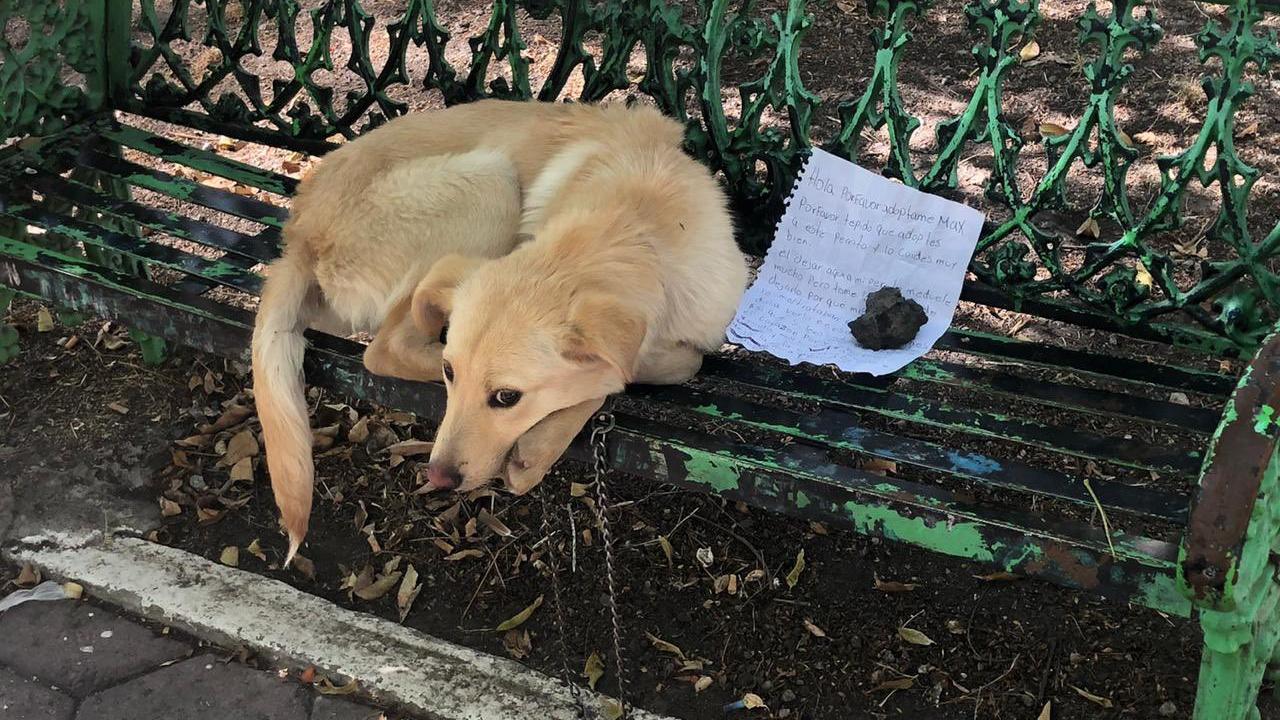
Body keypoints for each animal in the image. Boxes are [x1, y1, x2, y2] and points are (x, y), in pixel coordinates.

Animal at [253, 101, 747, 561]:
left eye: (507, 397)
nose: (438, 477)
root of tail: (300, 233)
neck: (634, 226)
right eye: (451, 373)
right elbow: (636, 372)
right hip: (491, 181)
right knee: (384, 349)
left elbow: (663, 363)